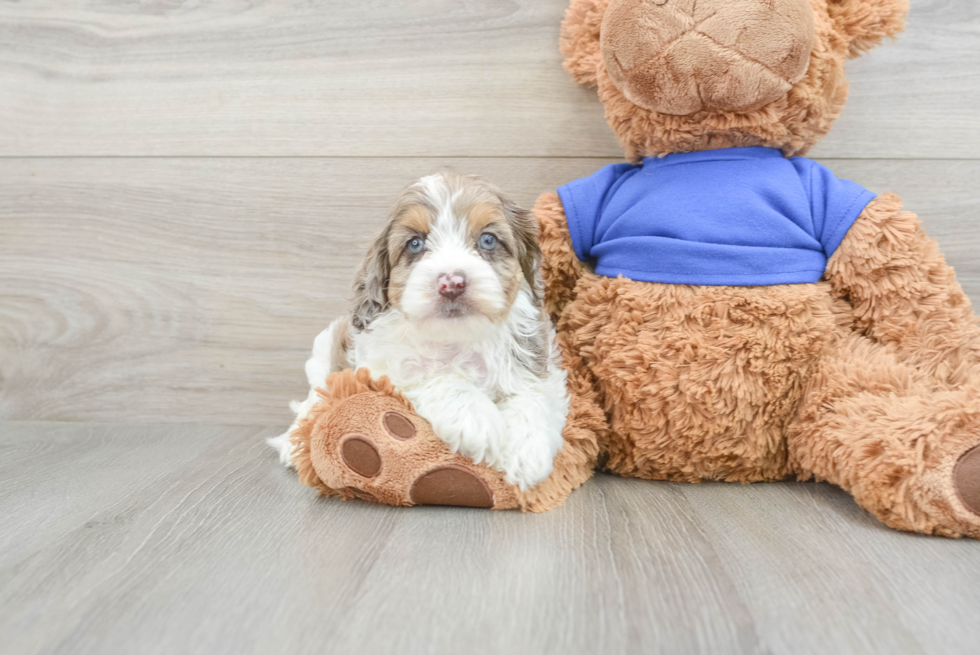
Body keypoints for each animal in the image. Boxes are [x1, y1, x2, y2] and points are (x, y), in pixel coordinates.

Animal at [272, 172, 572, 490]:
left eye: (488, 240)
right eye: (415, 244)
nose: (451, 283)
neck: (457, 336)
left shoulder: (537, 360)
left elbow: (533, 394)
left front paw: (526, 451)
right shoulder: (383, 365)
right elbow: (432, 374)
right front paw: (477, 420)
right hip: (325, 350)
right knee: (315, 396)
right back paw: (292, 443)